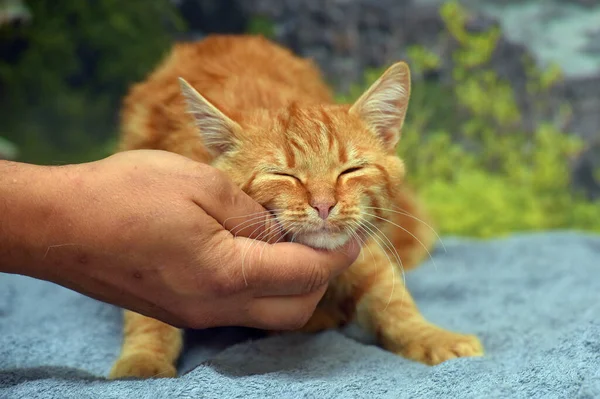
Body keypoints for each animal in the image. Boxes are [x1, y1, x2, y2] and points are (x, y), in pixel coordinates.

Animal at [106, 35, 482, 382]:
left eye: (350, 170)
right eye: (283, 175)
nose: (324, 204)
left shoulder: (364, 249)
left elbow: (390, 298)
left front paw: (431, 337)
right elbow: (148, 309)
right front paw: (142, 360)